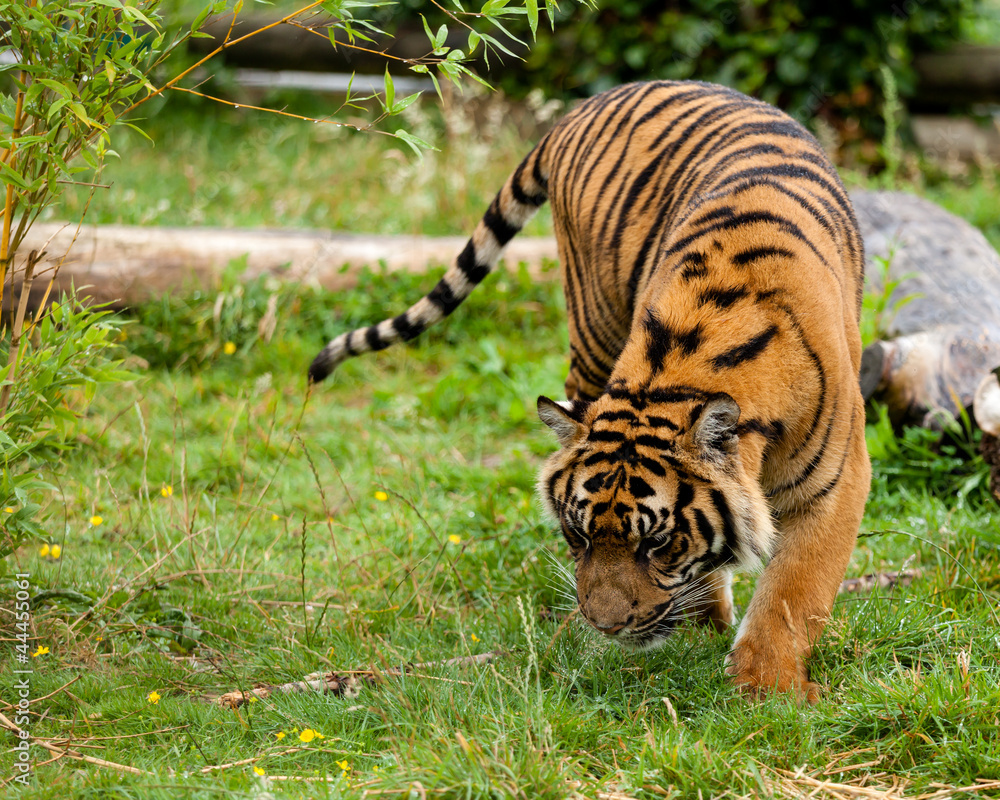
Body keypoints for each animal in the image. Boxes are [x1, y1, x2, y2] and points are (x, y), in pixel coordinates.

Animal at [309, 81, 871, 703]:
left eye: (658, 543)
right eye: (577, 534)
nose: (605, 625)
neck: (690, 361)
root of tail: (588, 104)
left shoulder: (836, 481)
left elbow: (795, 591)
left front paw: (767, 688)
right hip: (591, 325)